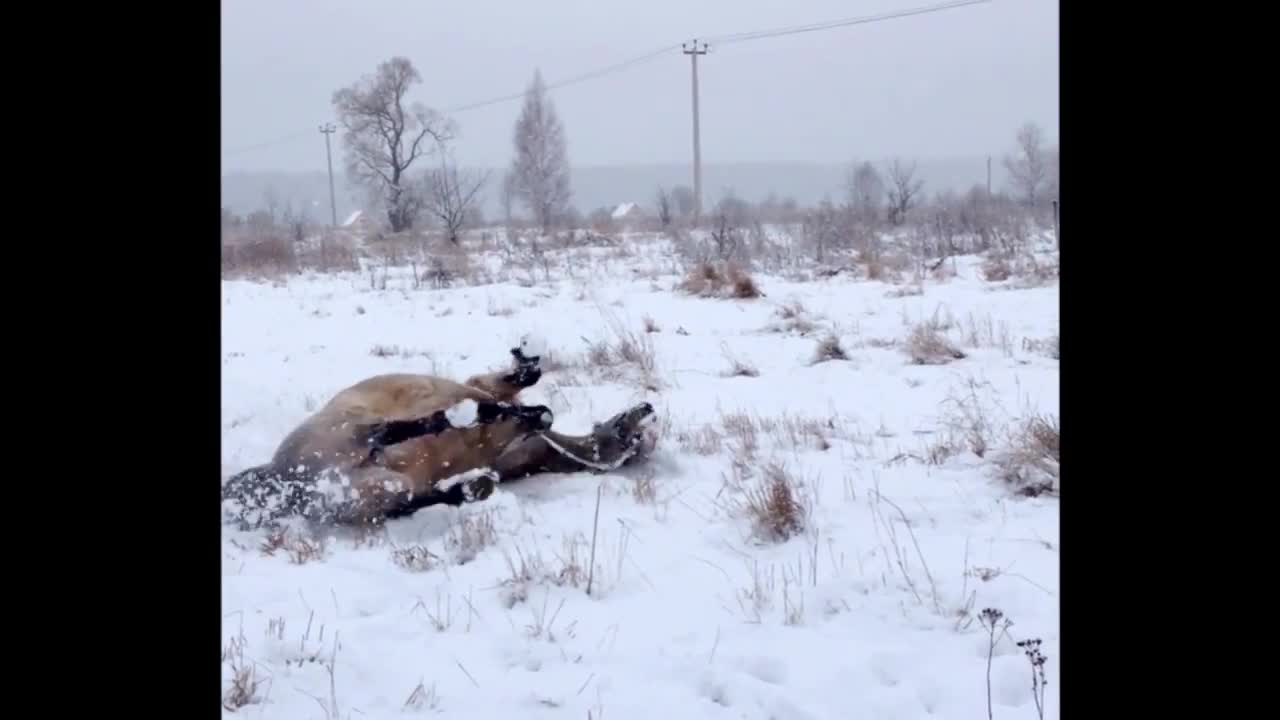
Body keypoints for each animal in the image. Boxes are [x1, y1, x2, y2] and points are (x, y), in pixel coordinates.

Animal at [220, 343, 655, 527]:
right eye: (632, 433)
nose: (647, 410)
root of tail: (286, 478)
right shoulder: (480, 397)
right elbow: (505, 392)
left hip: (375, 486)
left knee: (406, 494)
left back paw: (465, 479)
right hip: (345, 435)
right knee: (384, 434)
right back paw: (447, 424)